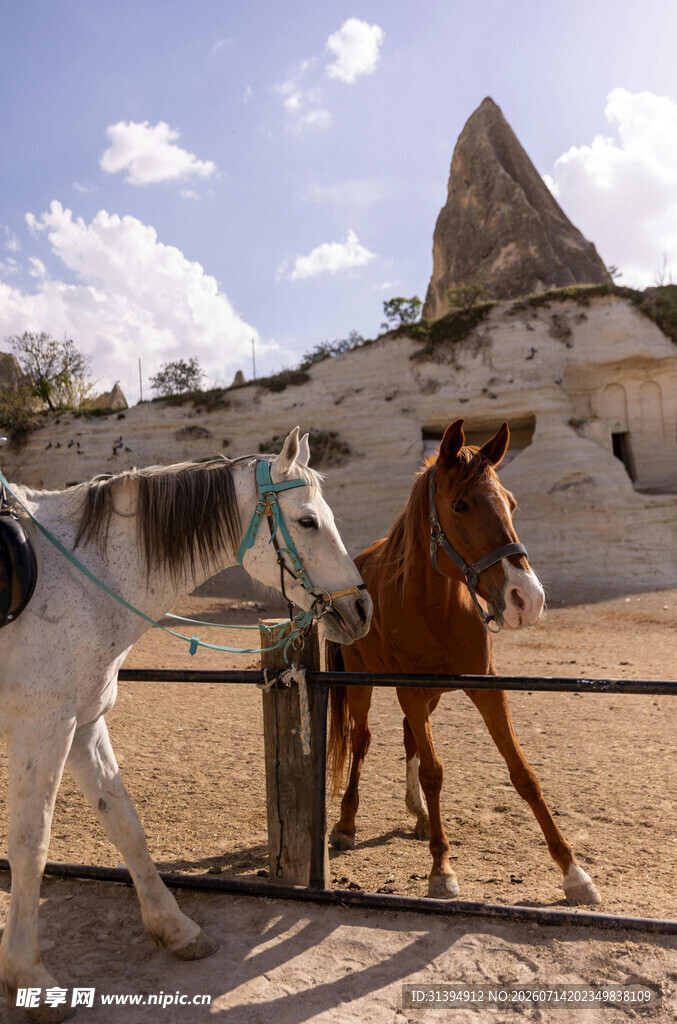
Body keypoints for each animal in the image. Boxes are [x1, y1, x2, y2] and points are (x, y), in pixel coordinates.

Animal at [0, 427, 372, 1022]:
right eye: (309, 520)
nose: (361, 609)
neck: (74, 575)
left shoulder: (83, 725)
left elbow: (125, 824)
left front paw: (175, 929)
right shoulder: (42, 729)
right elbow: (31, 847)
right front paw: (27, 974)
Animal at [327, 419, 601, 906]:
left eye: (511, 503)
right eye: (461, 505)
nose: (527, 598)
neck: (434, 607)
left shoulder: (484, 687)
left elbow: (523, 774)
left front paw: (574, 873)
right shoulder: (409, 690)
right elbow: (434, 774)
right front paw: (441, 869)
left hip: (429, 697)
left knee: (408, 738)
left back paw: (418, 815)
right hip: (362, 684)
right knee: (361, 742)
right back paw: (346, 823)